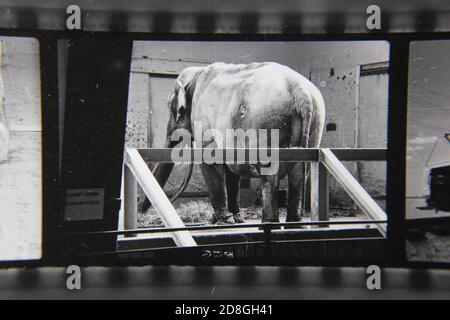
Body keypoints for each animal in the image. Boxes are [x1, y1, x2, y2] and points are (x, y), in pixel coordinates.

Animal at [142, 62, 326, 225]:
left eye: (169, 106)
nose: (142, 213)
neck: (198, 73)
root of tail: (302, 93)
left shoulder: (203, 119)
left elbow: (210, 161)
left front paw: (221, 221)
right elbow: (231, 170)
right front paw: (236, 219)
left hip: (268, 124)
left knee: (270, 173)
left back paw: (268, 223)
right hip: (314, 126)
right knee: (300, 172)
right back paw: (294, 223)